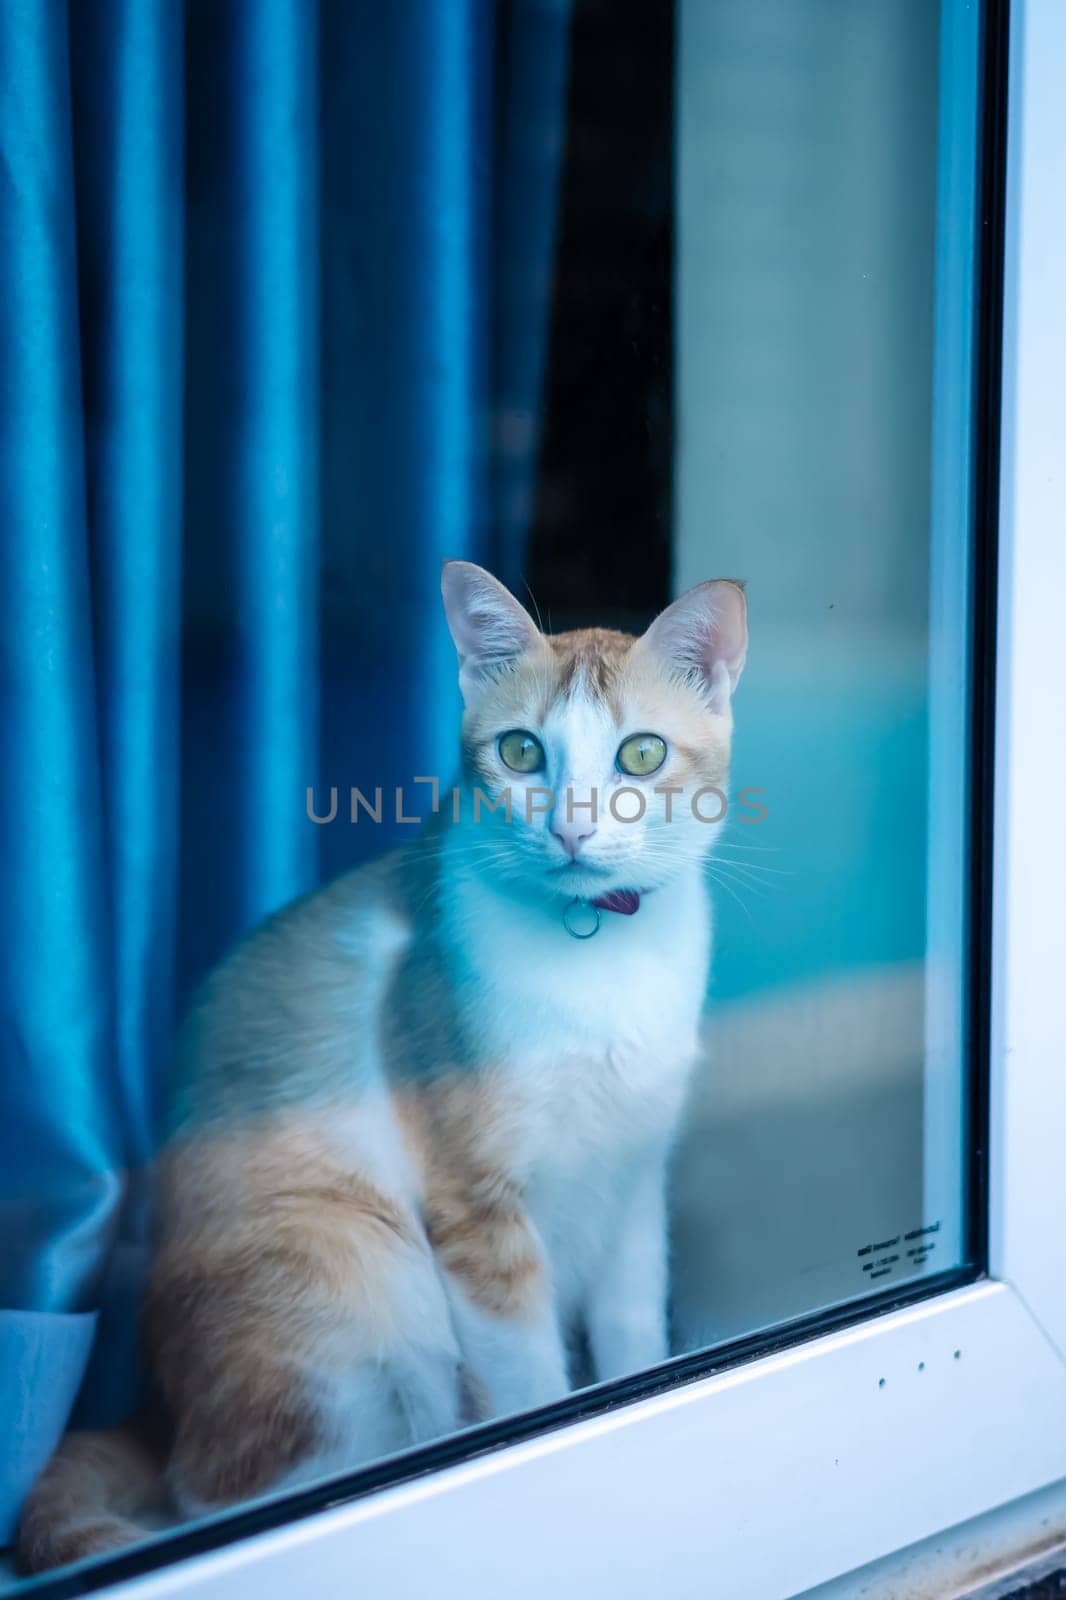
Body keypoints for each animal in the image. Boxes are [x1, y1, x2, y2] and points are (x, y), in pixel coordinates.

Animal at [16, 563, 745, 1574]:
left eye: (640, 756)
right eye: (522, 751)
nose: (571, 829)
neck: (599, 958)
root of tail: (158, 1413)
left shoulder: (632, 1175)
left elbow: (633, 1330)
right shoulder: (475, 1204)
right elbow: (531, 1385)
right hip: (356, 1270)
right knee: (223, 1495)